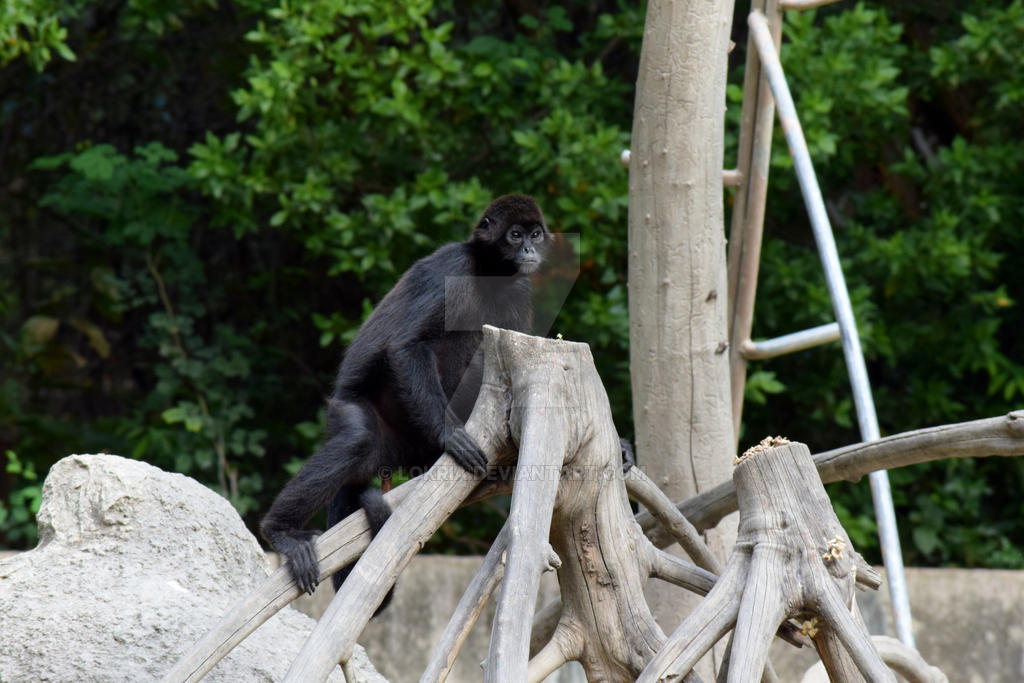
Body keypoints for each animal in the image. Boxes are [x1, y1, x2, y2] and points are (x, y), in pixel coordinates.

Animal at [260, 194, 551, 603]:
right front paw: (451, 435)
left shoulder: (519, 287)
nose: (528, 249)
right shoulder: (453, 266)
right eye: (514, 235)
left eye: (535, 234)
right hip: (356, 415)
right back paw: (282, 532)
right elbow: (404, 346)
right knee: (358, 436)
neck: (488, 272)